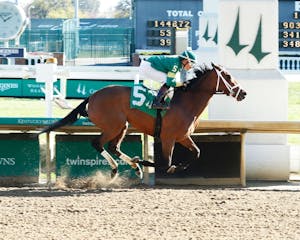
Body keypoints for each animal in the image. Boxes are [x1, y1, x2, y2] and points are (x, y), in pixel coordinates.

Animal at [39, 62, 246, 179]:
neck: (185, 103)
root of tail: (93, 96)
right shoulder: (169, 138)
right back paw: (118, 168)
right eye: (227, 76)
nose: (243, 93)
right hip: (113, 125)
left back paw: (133, 167)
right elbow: (166, 163)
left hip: (122, 126)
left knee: (113, 146)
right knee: (97, 143)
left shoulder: (183, 137)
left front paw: (173, 166)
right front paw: (144, 161)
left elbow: (196, 153)